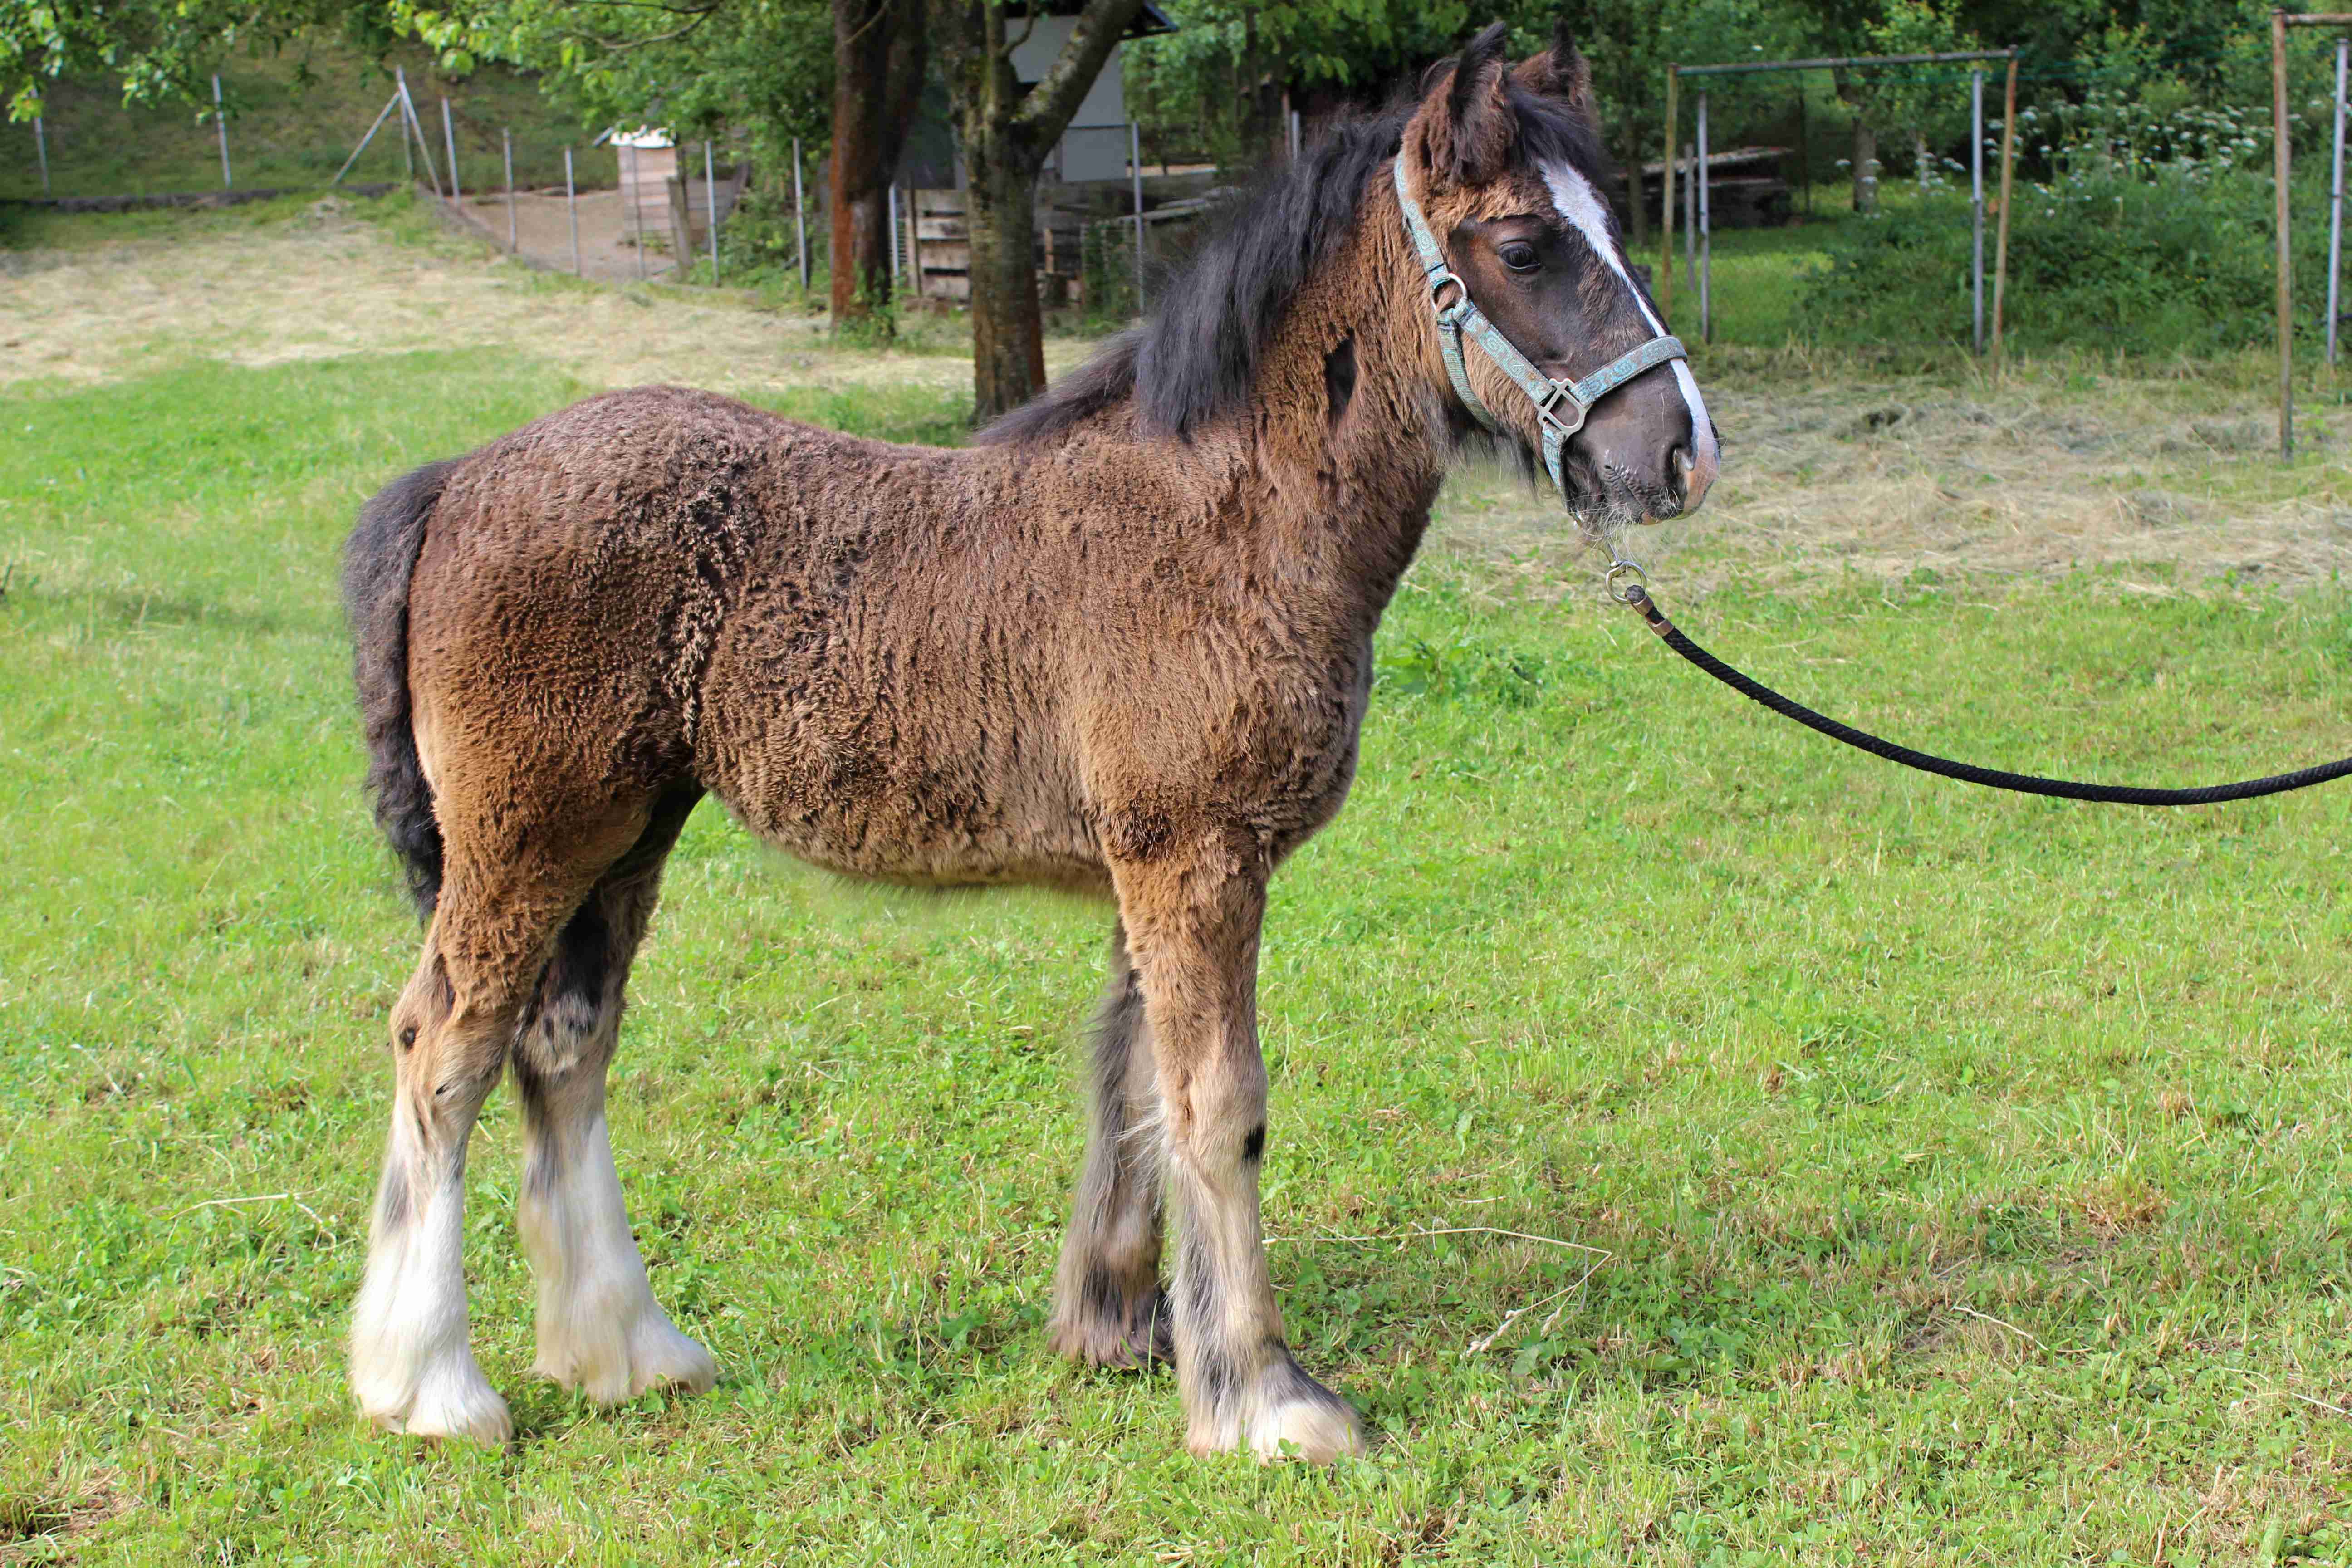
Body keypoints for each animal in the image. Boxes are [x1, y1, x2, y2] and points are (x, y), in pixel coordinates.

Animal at [339, 19, 1718, 1463]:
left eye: (1613, 223)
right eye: (1523, 244)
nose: (1678, 452)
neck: (1223, 511)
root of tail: (459, 480)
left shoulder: (1155, 871)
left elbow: (1134, 1090)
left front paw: (1125, 1329)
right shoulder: (1196, 861)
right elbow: (1219, 1109)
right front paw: (1266, 1396)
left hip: (626, 837)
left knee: (565, 1046)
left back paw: (628, 1350)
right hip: (527, 839)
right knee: (443, 1048)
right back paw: (432, 1386)